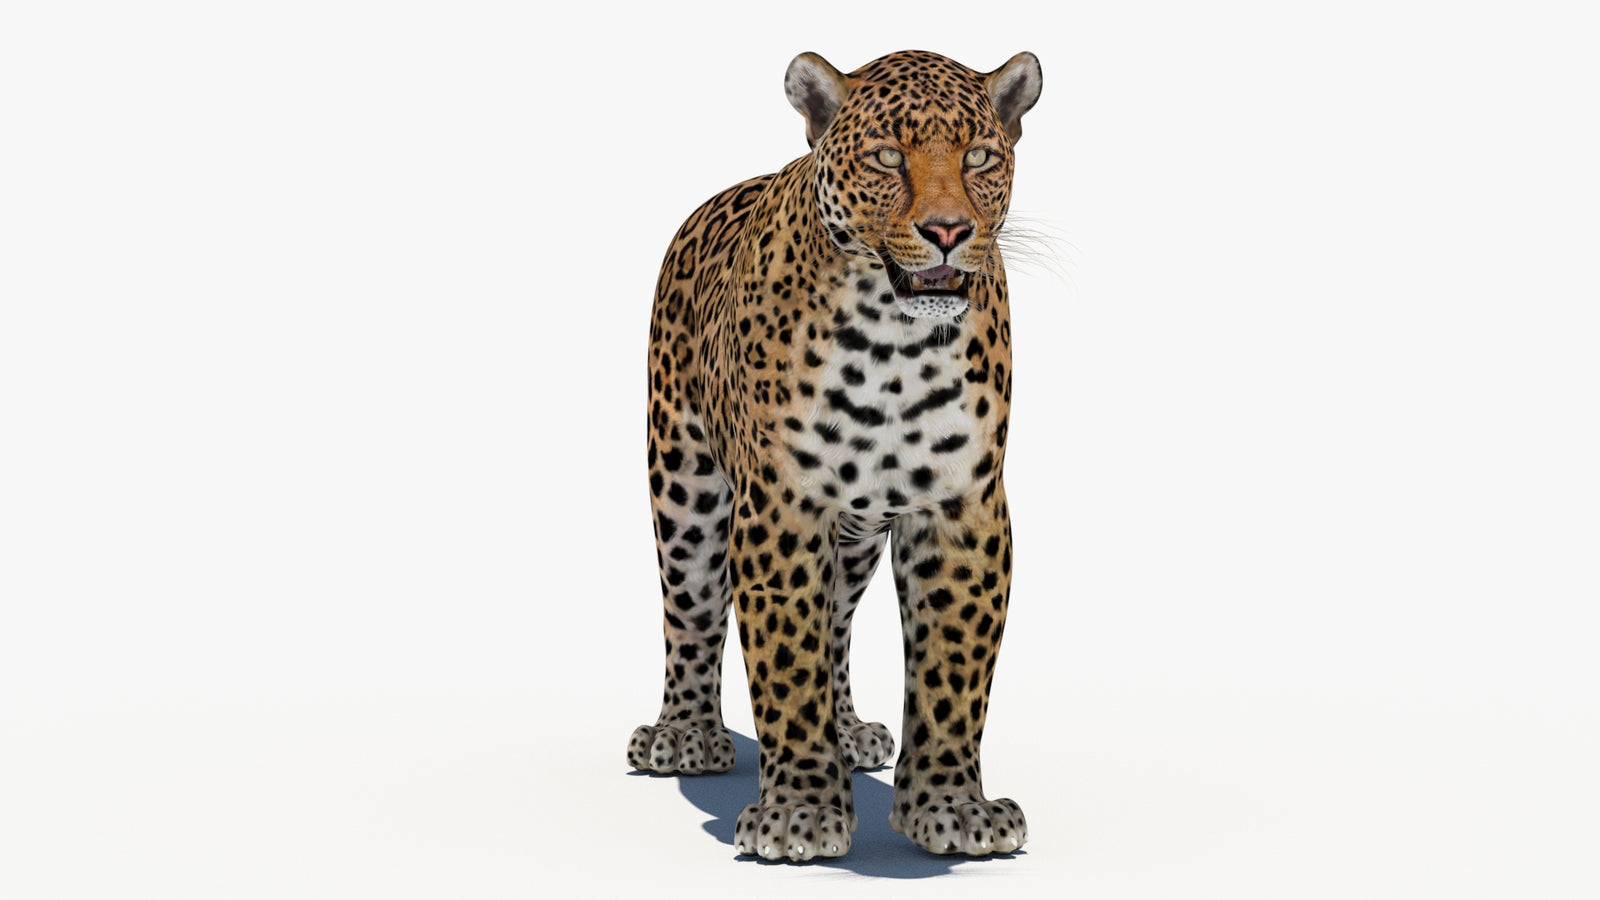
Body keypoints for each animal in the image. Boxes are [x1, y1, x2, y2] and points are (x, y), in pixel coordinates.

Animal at [627, 49, 1043, 862]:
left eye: (980, 157)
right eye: (886, 157)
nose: (948, 230)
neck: (894, 345)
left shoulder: (964, 509)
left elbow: (952, 671)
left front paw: (953, 808)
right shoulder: (779, 510)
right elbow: (786, 663)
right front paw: (799, 813)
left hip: (854, 537)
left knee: (838, 623)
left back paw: (848, 731)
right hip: (684, 485)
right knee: (690, 611)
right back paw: (684, 735)